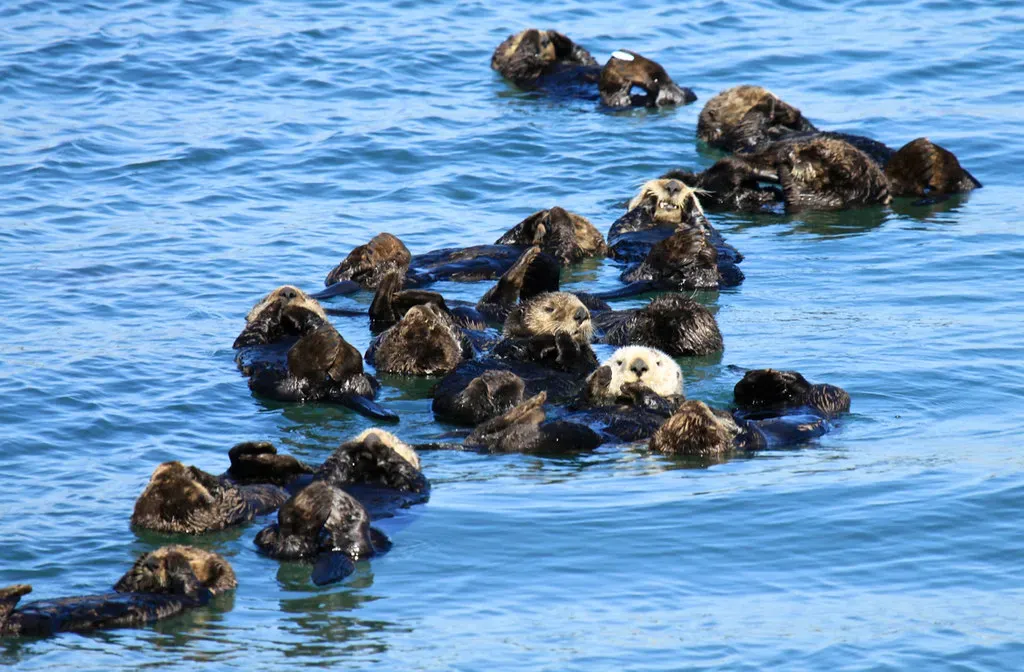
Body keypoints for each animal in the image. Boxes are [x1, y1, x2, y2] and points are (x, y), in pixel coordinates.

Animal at [0, 546, 235, 637]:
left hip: (36, 624)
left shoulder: (200, 595)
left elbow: (190, 585)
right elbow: (121, 587)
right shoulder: (123, 588)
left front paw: (176, 555)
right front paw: (141, 561)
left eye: (192, 557)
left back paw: (17, 590)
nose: (152, 563)